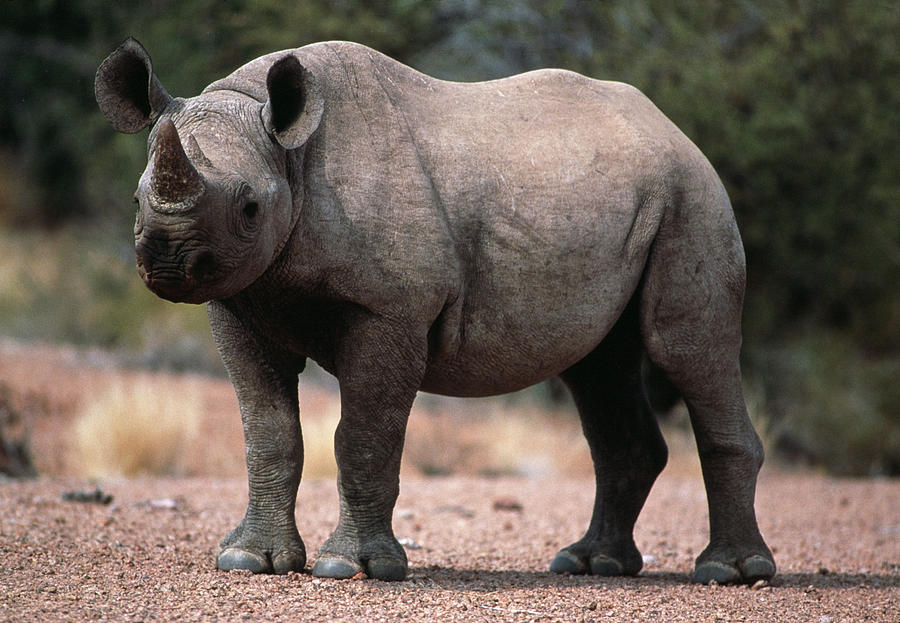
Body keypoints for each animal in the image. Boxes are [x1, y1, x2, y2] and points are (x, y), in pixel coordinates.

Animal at [96, 39, 772, 584]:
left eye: (250, 208)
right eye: (134, 198)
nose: (169, 263)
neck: (290, 155)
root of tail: (678, 131)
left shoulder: (388, 310)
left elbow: (364, 435)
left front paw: (351, 569)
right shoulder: (241, 302)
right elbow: (268, 432)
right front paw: (248, 561)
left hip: (694, 196)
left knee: (689, 349)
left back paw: (728, 573)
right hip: (633, 198)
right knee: (598, 366)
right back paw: (592, 564)